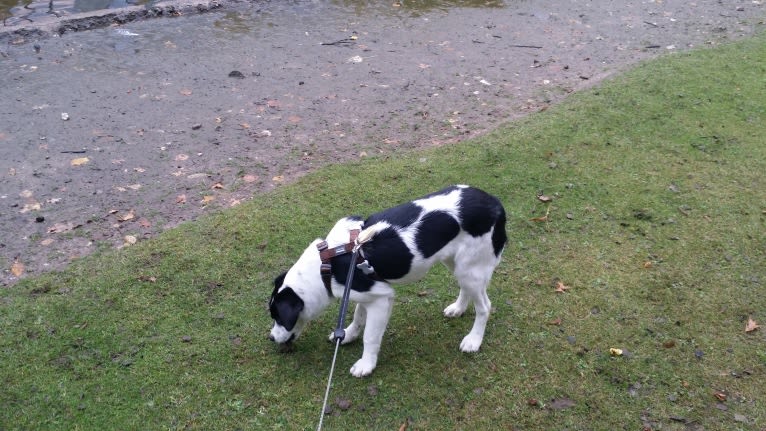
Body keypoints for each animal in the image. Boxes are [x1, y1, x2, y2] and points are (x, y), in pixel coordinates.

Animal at [268, 186, 508, 378]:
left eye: (278, 317)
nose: (271, 338)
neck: (326, 265)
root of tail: (494, 202)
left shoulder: (381, 298)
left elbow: (370, 336)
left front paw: (366, 364)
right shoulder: (365, 292)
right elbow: (358, 317)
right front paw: (348, 335)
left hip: (471, 269)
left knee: (484, 306)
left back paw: (474, 340)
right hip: (457, 263)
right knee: (466, 289)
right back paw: (458, 308)